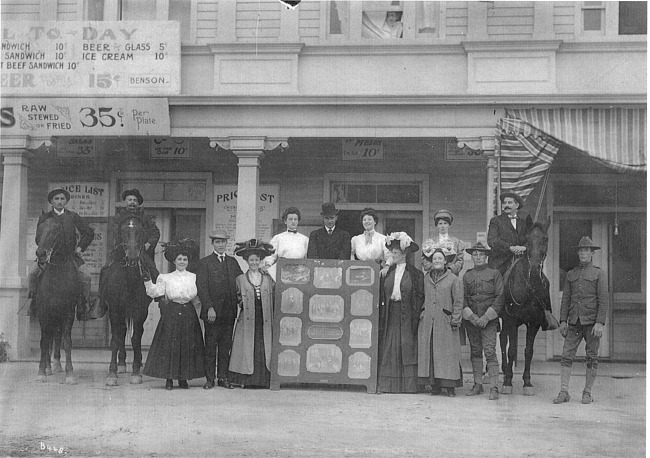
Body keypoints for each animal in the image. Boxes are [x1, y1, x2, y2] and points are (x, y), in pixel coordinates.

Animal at [32, 216, 80, 384]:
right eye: (40, 229)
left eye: (56, 229)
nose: (41, 253)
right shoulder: (44, 313)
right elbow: (44, 341)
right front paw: (41, 372)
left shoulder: (68, 313)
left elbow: (66, 341)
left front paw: (70, 373)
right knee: (48, 338)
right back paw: (48, 367)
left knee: (56, 336)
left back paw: (57, 365)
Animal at [102, 216, 156, 386]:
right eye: (123, 231)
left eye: (141, 231)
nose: (132, 257)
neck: (128, 279)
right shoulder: (115, 309)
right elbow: (116, 338)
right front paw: (112, 373)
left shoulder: (140, 310)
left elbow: (136, 337)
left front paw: (136, 372)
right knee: (121, 332)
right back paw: (121, 364)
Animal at [498, 217, 548, 394]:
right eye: (527, 240)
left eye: (545, 239)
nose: (534, 269)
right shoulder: (511, 320)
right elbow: (512, 350)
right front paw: (507, 382)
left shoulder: (534, 322)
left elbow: (528, 351)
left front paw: (527, 382)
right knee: (503, 341)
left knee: (502, 338)